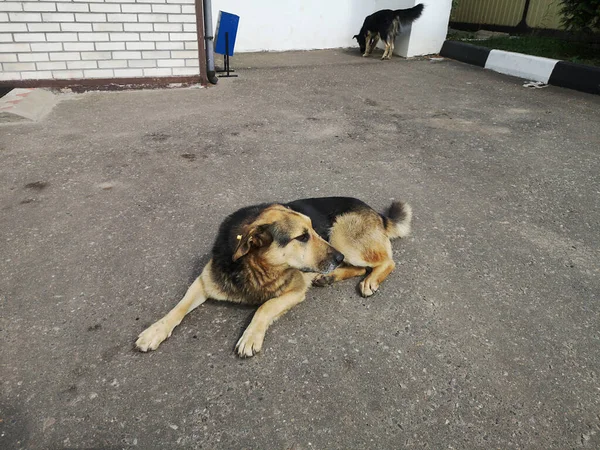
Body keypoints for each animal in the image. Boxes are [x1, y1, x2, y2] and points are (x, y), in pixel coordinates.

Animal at [135, 197, 412, 358]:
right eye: (302, 236)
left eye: (313, 229)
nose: (337, 256)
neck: (255, 266)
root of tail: (377, 213)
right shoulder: (205, 281)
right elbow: (178, 308)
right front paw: (155, 331)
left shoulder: (295, 290)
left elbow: (265, 306)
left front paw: (250, 336)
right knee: (358, 267)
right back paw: (331, 277)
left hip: (343, 237)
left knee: (385, 261)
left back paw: (370, 280)